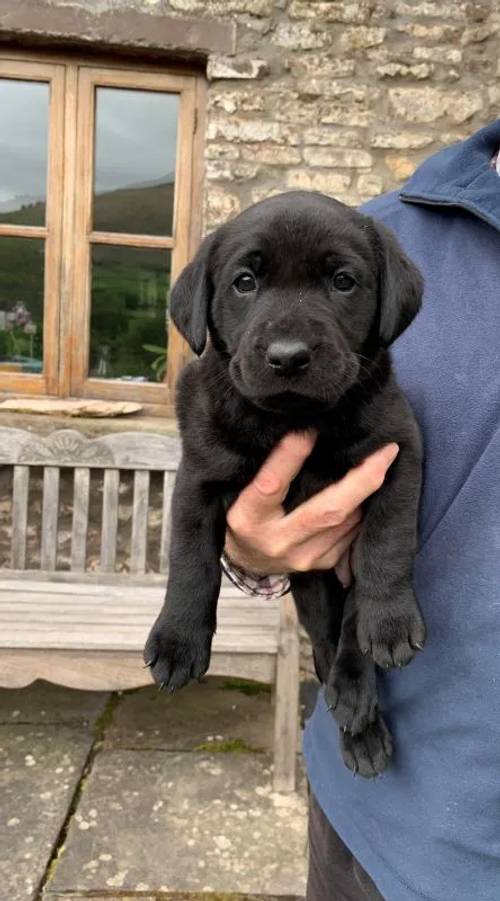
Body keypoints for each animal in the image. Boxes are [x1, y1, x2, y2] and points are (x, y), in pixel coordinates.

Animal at [144, 188, 426, 772]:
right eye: (244, 282)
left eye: (343, 281)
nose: (288, 357)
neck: (292, 421)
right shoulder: (198, 477)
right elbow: (190, 560)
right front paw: (177, 640)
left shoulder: (397, 451)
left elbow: (387, 544)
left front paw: (390, 621)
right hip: (313, 589)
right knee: (326, 640)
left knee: (350, 627)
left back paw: (358, 702)